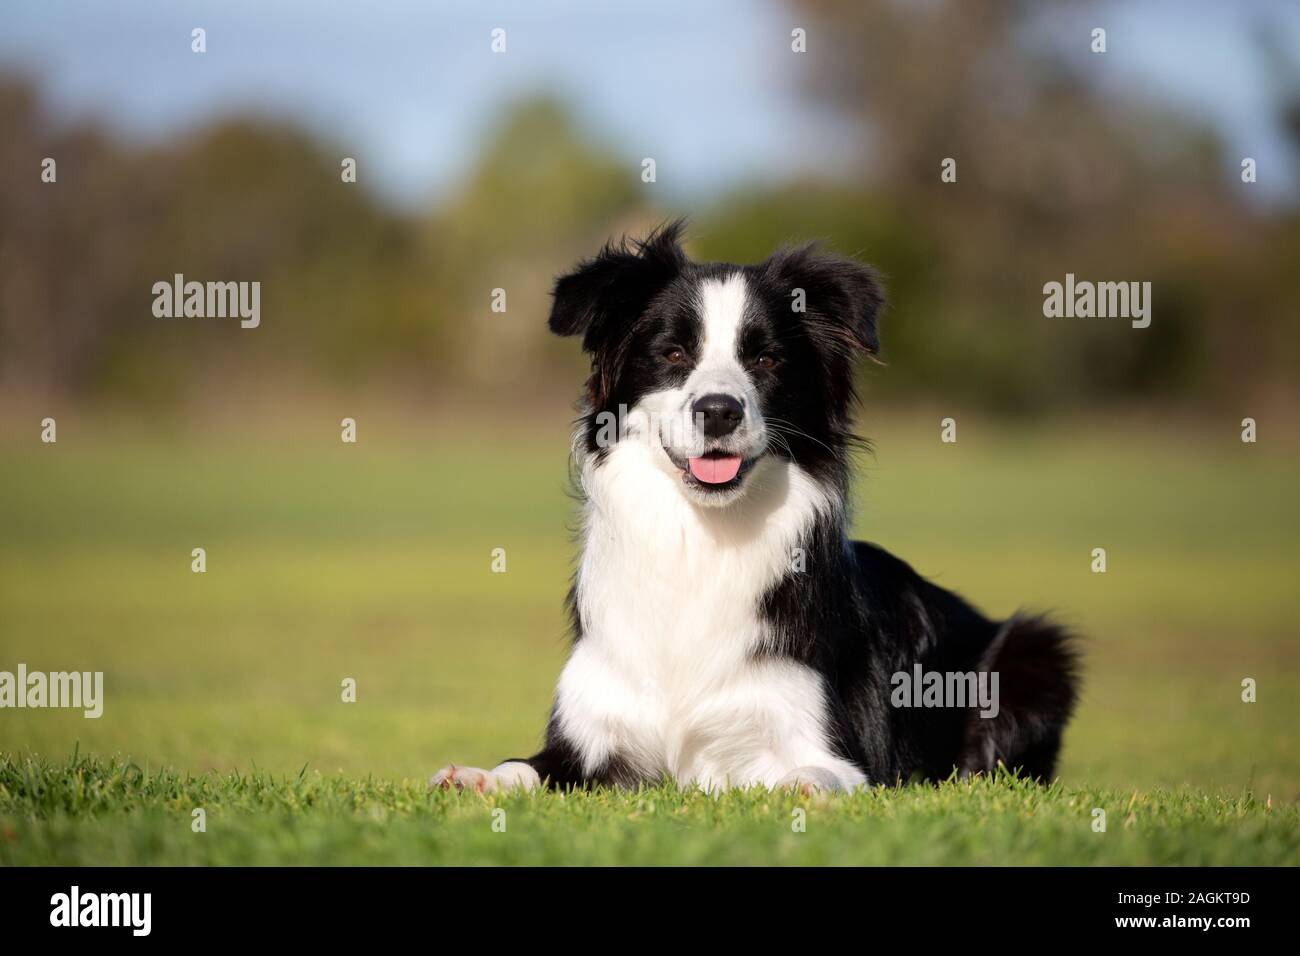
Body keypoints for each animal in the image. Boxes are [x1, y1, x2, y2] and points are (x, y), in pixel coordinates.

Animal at [431, 222, 1081, 790]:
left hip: (1035, 651)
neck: (701, 540)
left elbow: (815, 773)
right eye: (672, 354)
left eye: (767, 360)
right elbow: (522, 767)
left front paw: (801, 789)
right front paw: (475, 778)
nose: (718, 410)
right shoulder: (589, 734)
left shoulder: (824, 742)